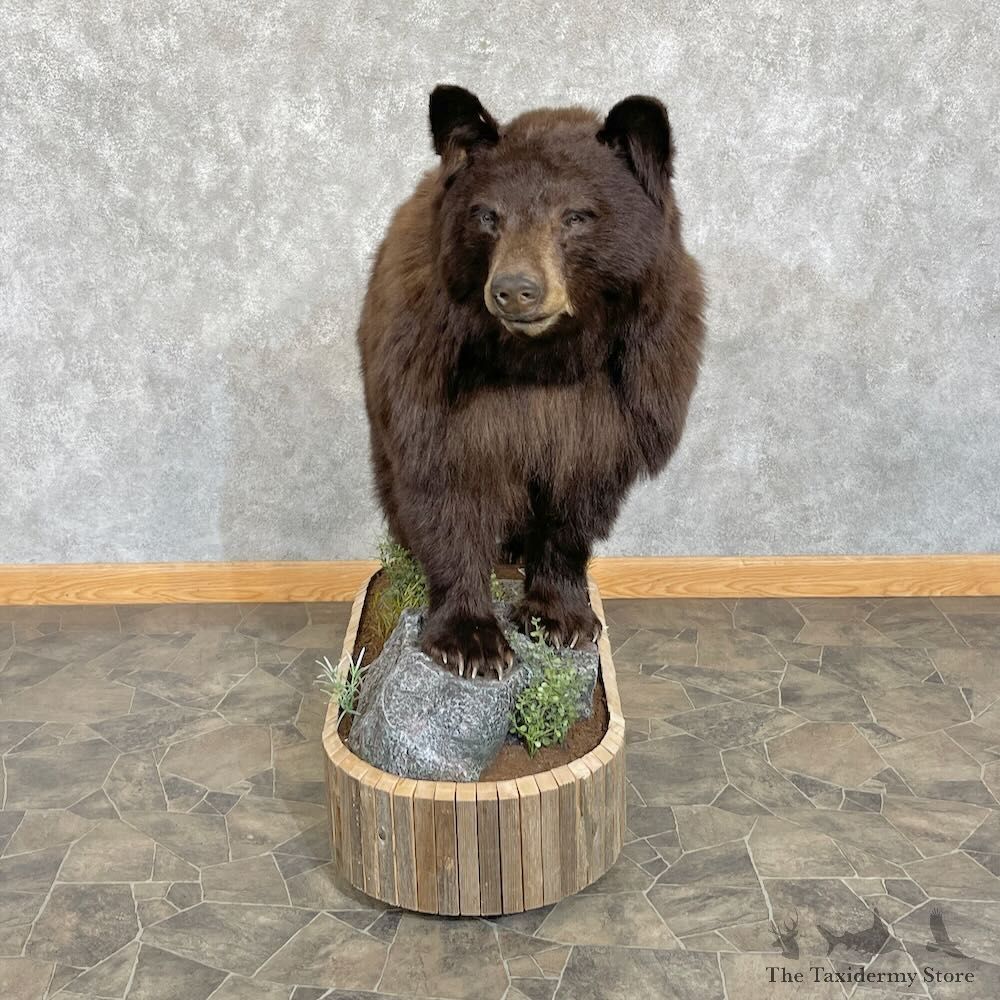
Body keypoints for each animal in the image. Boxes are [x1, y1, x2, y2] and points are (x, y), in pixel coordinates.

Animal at [356, 84, 705, 678]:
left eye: (577, 216)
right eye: (487, 215)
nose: (515, 289)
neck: (542, 359)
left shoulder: (619, 397)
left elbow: (576, 504)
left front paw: (560, 617)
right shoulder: (431, 379)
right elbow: (445, 489)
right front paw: (470, 640)